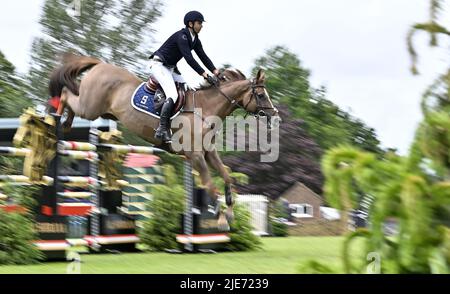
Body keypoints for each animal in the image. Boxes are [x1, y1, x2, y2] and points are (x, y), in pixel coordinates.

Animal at [50, 54, 282, 231]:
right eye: (261, 95)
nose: (276, 116)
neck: (206, 109)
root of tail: (100, 65)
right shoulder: (196, 156)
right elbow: (209, 186)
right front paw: (222, 218)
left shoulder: (209, 153)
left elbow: (226, 178)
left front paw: (231, 213)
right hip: (89, 107)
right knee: (67, 94)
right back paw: (56, 118)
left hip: (101, 111)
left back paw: (65, 123)